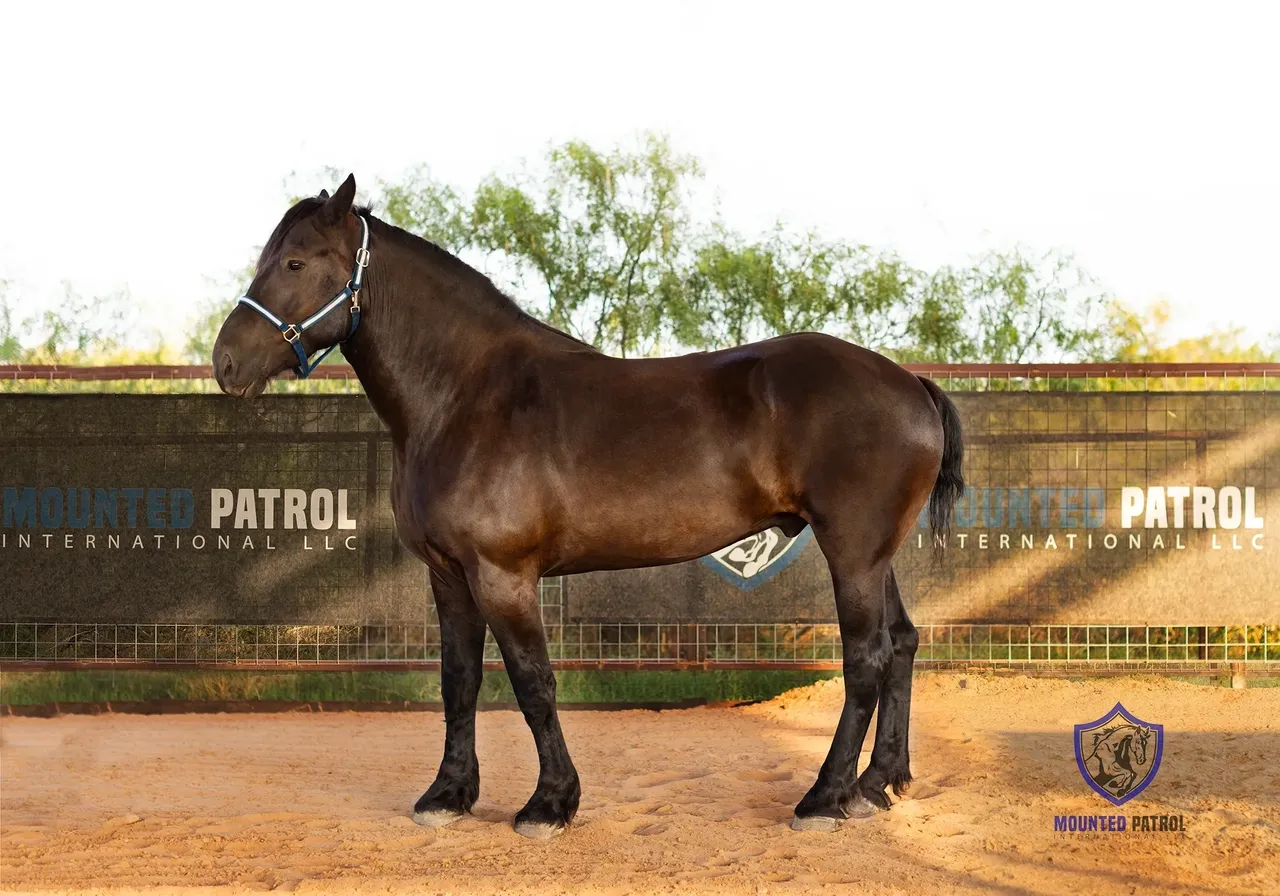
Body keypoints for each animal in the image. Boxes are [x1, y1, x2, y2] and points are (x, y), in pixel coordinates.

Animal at [212, 174, 965, 838]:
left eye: (295, 261)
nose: (225, 363)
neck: (465, 397)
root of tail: (911, 384)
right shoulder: (448, 575)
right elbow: (459, 681)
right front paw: (448, 796)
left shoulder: (504, 575)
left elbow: (533, 683)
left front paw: (550, 804)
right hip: (872, 555)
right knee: (901, 643)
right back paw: (878, 785)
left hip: (851, 551)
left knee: (865, 658)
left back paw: (825, 798)